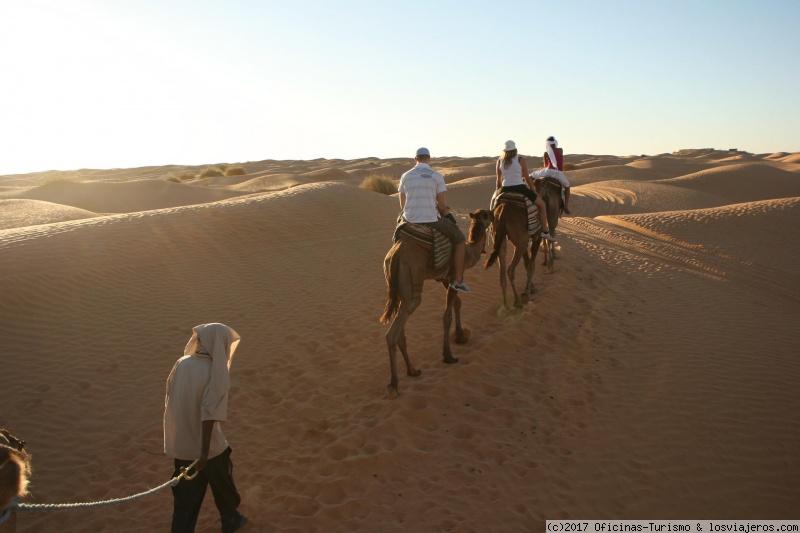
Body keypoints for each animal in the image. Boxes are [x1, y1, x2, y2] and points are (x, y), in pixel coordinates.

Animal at [380, 208, 494, 394]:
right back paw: (394, 384)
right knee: (393, 332)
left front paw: (461, 337)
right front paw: (448, 355)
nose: (493, 213)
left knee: (400, 328)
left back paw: (412, 370)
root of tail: (395, 255)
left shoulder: (445, 279)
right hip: (412, 284)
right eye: (487, 215)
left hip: (397, 289)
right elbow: (447, 316)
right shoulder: (455, 274)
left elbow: (457, 303)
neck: (469, 252)